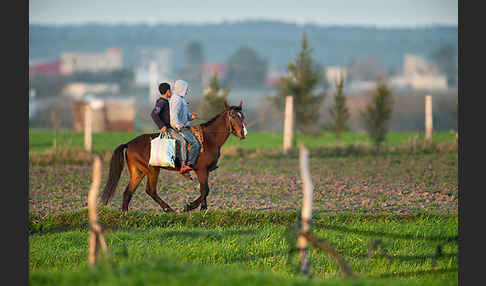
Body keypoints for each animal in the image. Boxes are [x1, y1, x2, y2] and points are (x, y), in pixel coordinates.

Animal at [101, 100, 247, 212]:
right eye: (233, 115)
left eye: (243, 116)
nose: (243, 132)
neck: (209, 138)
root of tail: (129, 143)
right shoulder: (201, 169)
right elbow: (205, 190)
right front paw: (190, 207)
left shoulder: (206, 171)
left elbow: (204, 190)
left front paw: (202, 209)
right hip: (152, 170)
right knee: (150, 190)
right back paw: (168, 209)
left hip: (138, 171)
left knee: (128, 192)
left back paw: (125, 213)